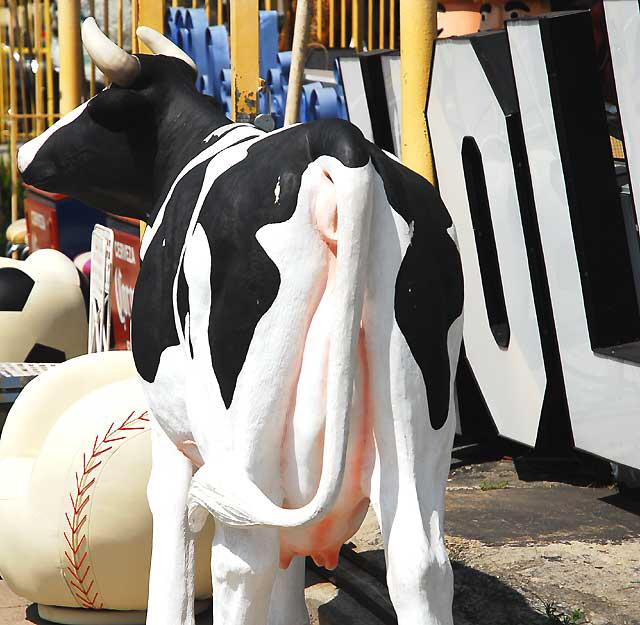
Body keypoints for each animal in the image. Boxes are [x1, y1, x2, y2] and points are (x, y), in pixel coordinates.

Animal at [17, 18, 462, 624]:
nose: (25, 149)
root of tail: (335, 142)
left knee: (243, 558)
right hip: (416, 399)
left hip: (242, 414)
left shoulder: (170, 422)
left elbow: (172, 517)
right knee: (419, 561)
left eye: (98, 100)